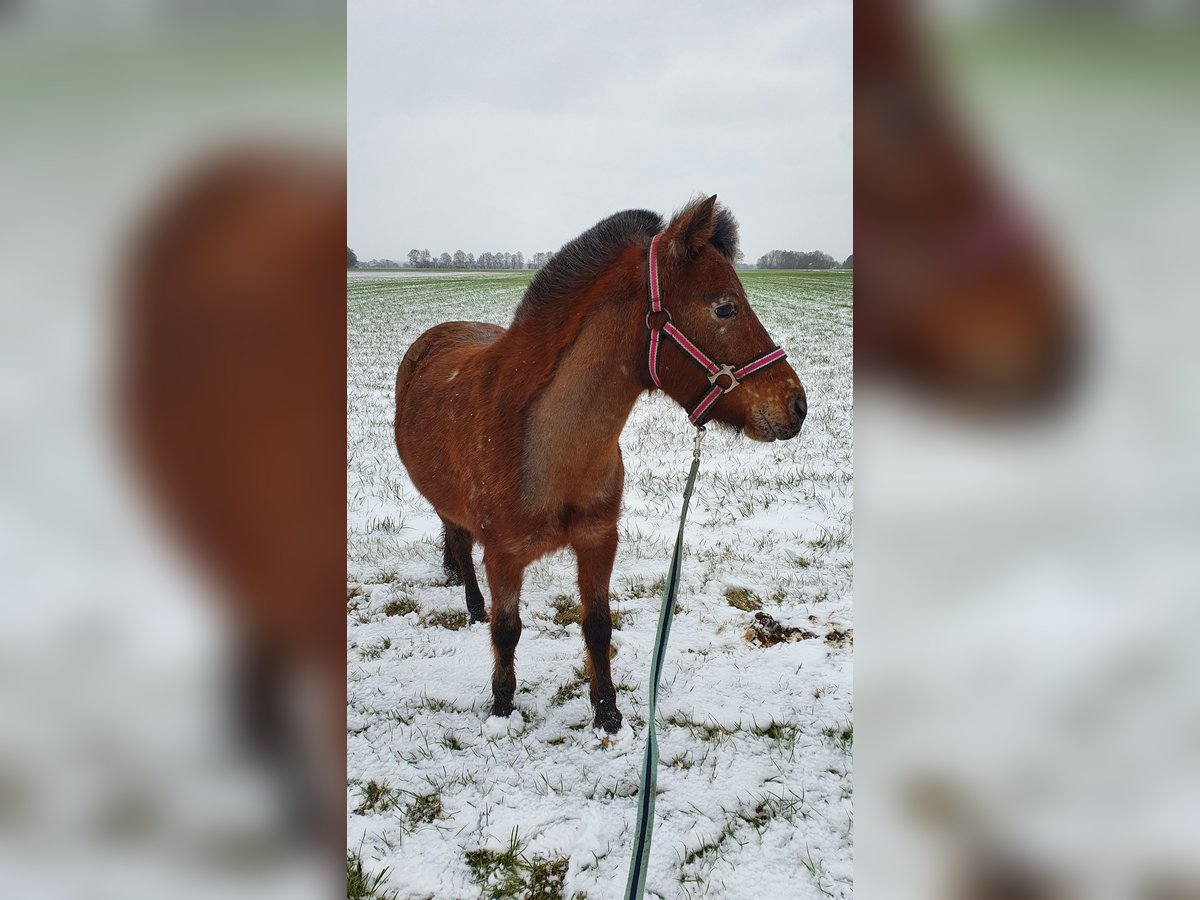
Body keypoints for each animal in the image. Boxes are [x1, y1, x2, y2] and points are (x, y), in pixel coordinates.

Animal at [393, 195, 806, 734]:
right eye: (725, 307)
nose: (797, 405)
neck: (547, 448)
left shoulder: (598, 540)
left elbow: (597, 625)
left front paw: (607, 713)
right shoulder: (504, 555)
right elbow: (507, 630)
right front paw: (502, 707)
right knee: (461, 549)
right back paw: (472, 606)